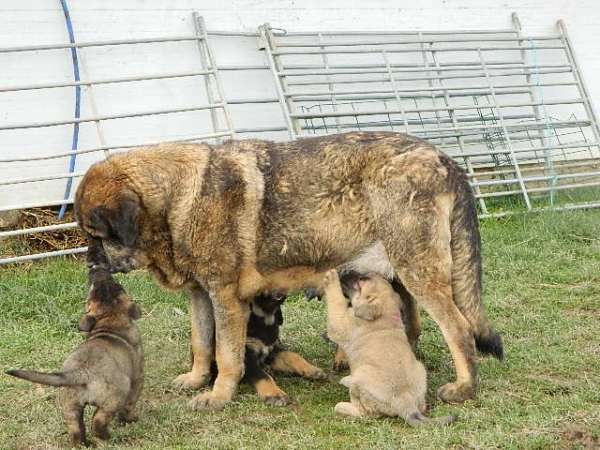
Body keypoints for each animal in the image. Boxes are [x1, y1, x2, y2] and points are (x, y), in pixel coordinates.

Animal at [5, 268, 143, 446]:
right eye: (119, 285)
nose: (99, 273)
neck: (110, 318)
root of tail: (81, 372)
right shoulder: (138, 378)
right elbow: (131, 403)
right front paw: (130, 419)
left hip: (70, 406)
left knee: (76, 430)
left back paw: (86, 444)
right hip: (115, 396)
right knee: (98, 421)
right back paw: (106, 437)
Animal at [76, 131, 506, 412]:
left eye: (98, 235)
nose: (90, 264)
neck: (178, 199)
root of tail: (445, 159)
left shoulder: (225, 298)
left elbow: (226, 355)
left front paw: (218, 396)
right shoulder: (201, 295)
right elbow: (201, 343)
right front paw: (197, 379)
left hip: (418, 268)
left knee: (459, 329)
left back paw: (464, 387)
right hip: (399, 269)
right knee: (410, 320)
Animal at [324, 268, 454, 428]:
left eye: (361, 280)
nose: (343, 271)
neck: (386, 312)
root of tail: (404, 399)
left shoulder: (341, 323)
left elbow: (336, 304)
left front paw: (331, 279)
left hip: (361, 376)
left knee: (366, 412)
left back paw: (343, 403)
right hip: (420, 368)